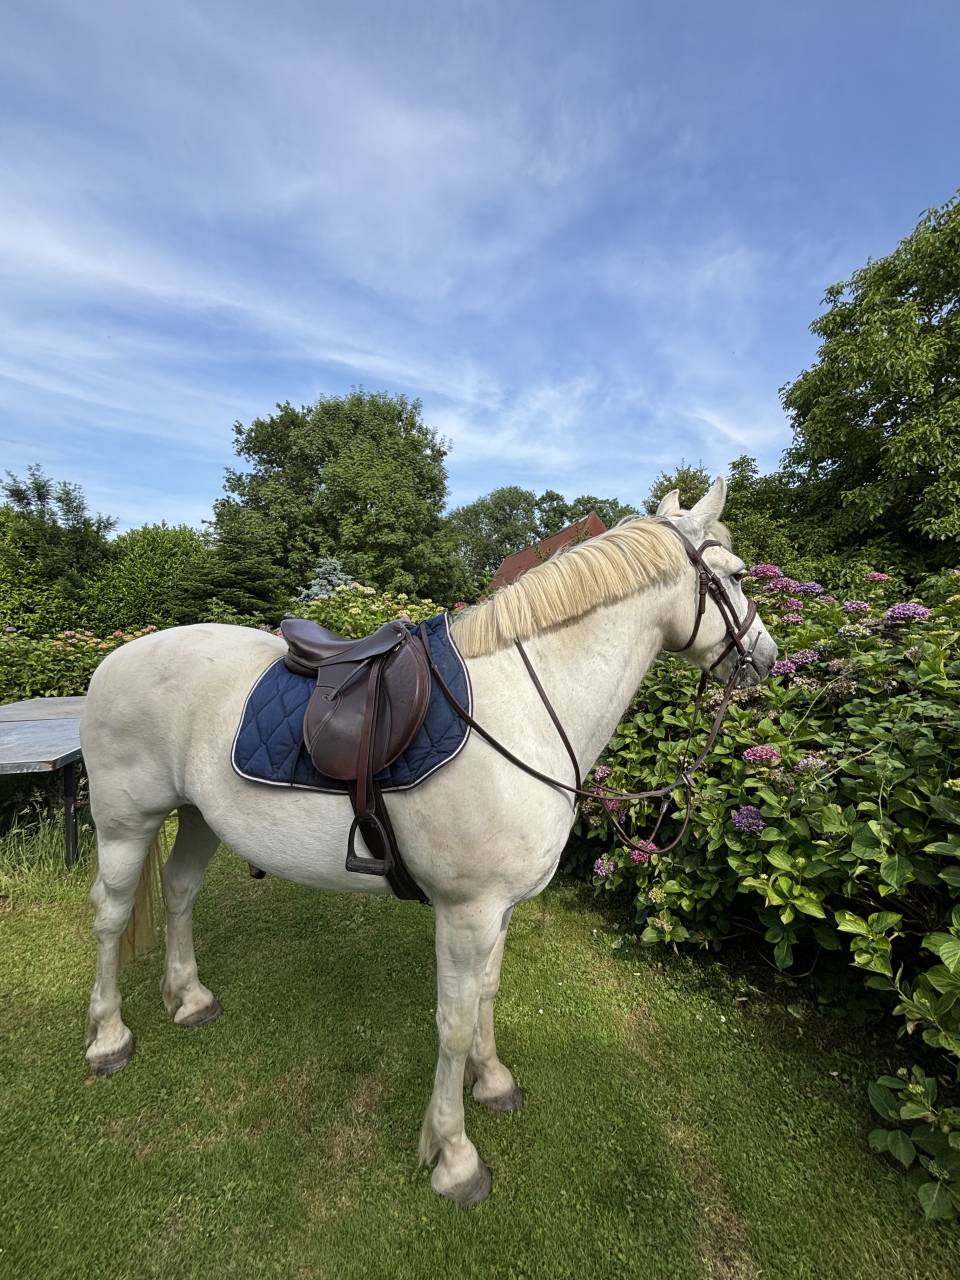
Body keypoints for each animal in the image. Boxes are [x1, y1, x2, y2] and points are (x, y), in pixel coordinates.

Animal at [81, 477, 777, 1206]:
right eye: (734, 576)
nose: (766, 657)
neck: (523, 710)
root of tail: (114, 659)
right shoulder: (466, 913)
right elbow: (454, 1022)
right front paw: (455, 1155)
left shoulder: (499, 910)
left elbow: (488, 994)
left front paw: (492, 1081)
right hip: (127, 822)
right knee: (110, 914)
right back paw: (108, 1037)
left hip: (198, 817)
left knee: (180, 892)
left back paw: (188, 998)